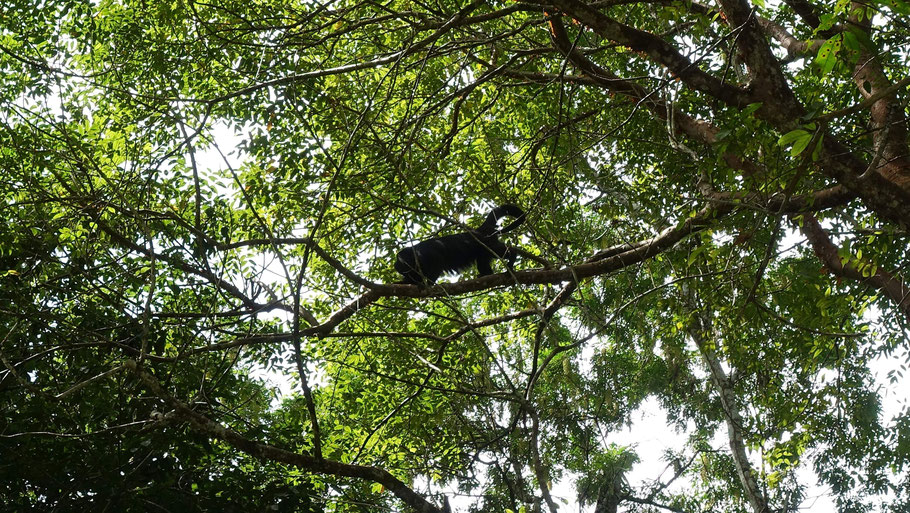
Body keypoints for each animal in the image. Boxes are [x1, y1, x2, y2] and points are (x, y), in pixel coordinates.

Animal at [395, 204, 526, 285]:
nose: (395, 264)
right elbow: (413, 278)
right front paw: (402, 282)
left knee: (500, 251)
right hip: (483, 250)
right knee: (482, 262)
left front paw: (429, 284)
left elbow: (438, 261)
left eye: (399, 259)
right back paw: (485, 274)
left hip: (487, 243)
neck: (415, 255)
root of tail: (480, 230)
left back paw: (512, 258)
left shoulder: (425, 253)